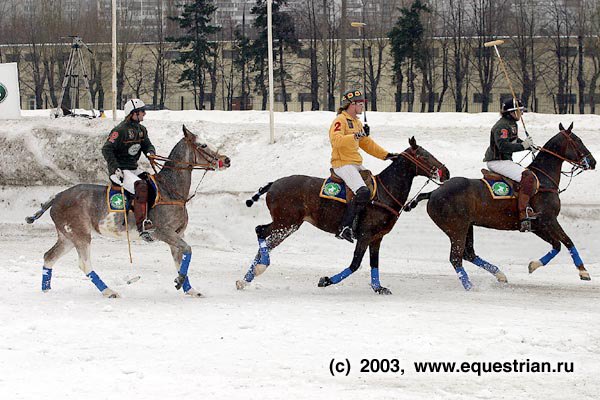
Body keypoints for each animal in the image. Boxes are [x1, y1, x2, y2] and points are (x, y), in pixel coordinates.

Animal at [25, 126, 230, 298]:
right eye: (203, 145)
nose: (226, 160)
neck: (170, 189)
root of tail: (57, 196)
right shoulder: (163, 232)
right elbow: (188, 249)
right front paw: (180, 280)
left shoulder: (177, 234)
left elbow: (181, 259)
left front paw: (189, 288)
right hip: (80, 234)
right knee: (84, 264)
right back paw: (109, 291)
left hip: (67, 237)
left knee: (49, 257)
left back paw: (46, 290)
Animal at [237, 138, 448, 294]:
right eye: (424, 155)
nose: (446, 172)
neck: (384, 193)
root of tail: (273, 184)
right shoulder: (364, 235)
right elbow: (355, 264)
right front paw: (326, 280)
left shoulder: (377, 238)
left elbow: (374, 263)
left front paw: (378, 287)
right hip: (286, 222)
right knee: (260, 231)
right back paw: (260, 267)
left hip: (288, 225)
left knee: (264, 240)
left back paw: (247, 278)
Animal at [406, 123, 596, 290]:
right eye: (577, 140)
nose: (593, 162)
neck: (543, 180)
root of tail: (433, 192)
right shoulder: (549, 219)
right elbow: (568, 241)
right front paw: (583, 271)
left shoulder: (537, 225)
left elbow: (556, 245)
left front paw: (533, 265)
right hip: (456, 228)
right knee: (456, 257)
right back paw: (469, 286)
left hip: (467, 226)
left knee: (468, 253)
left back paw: (499, 274)